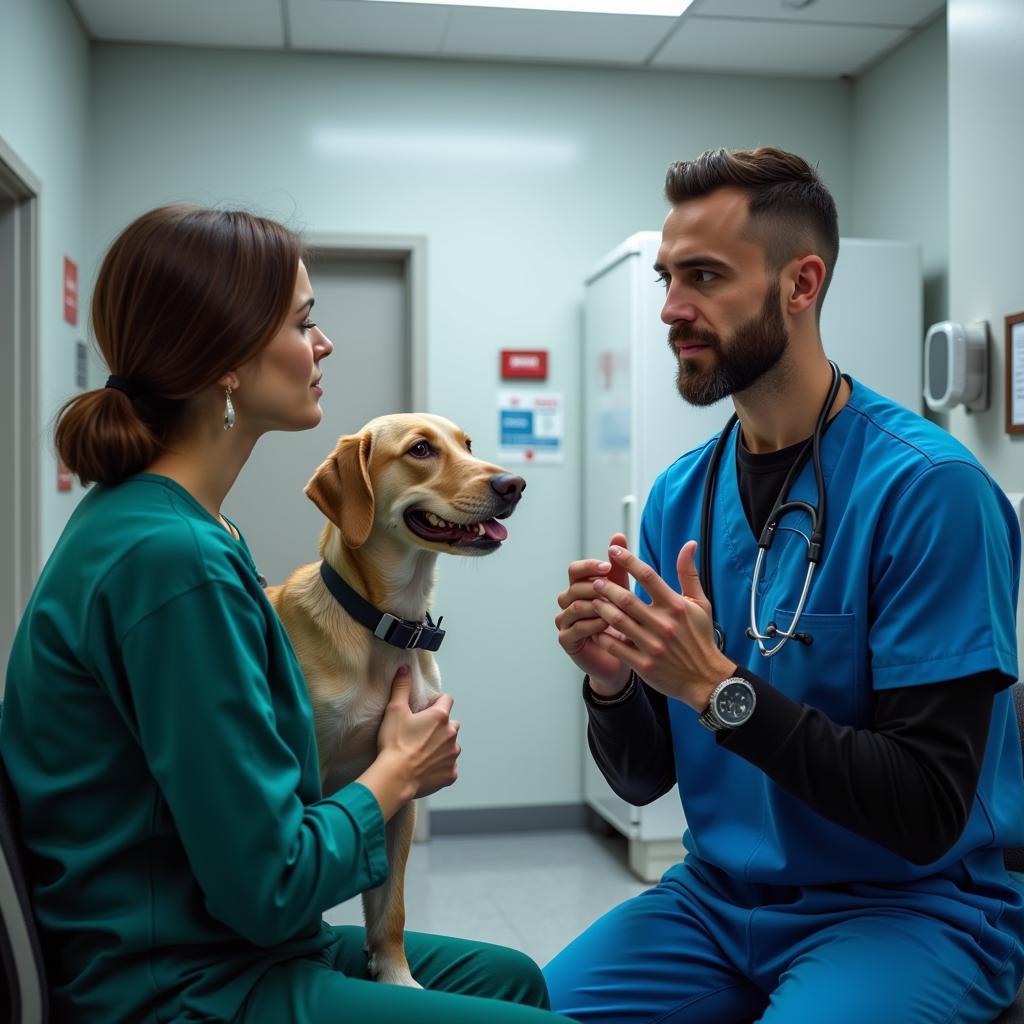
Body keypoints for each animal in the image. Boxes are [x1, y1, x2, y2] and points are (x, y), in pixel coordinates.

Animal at [268, 411, 524, 987]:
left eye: (468, 444)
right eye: (421, 450)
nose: (514, 484)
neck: (389, 627)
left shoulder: (401, 798)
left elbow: (392, 908)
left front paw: (395, 975)